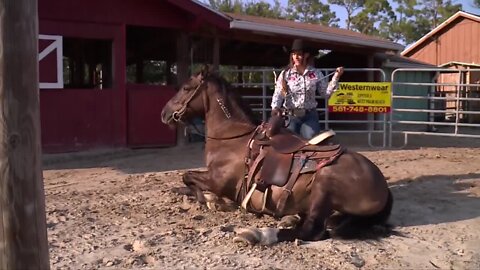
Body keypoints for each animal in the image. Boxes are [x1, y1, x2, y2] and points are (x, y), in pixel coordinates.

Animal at [161, 67, 394, 245]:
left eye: (186, 88)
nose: (164, 113)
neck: (231, 137)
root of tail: (382, 186)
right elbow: (184, 182)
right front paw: (205, 198)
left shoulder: (217, 180)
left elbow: (188, 177)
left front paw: (211, 201)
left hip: (324, 186)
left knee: (311, 231)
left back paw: (258, 234)